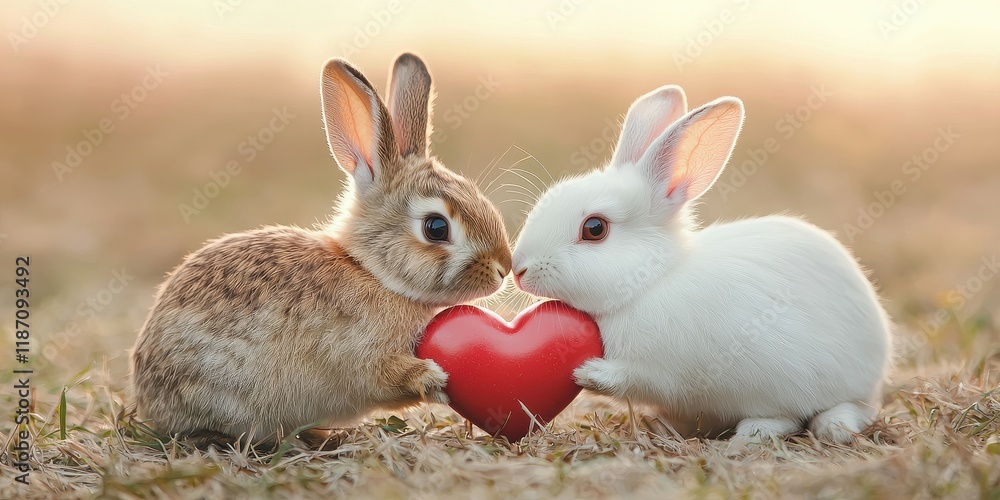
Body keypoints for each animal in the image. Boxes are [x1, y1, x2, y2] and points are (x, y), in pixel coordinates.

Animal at [129, 53, 512, 443]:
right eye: (436, 228)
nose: (502, 268)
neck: (371, 273)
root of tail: (148, 397)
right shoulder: (363, 357)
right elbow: (384, 375)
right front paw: (433, 378)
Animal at [510, 85, 892, 444]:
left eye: (594, 229)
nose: (519, 269)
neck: (649, 283)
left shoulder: (662, 370)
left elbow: (636, 377)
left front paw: (589, 374)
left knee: (806, 414)